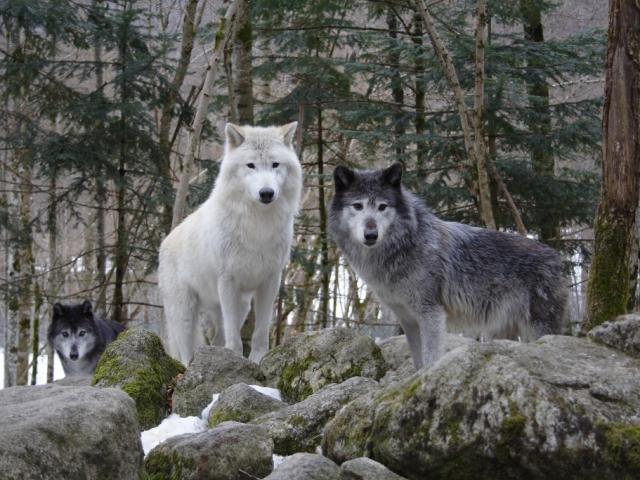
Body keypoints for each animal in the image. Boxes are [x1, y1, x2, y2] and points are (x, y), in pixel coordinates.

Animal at [158, 122, 302, 365]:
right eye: (251, 165)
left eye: (275, 164)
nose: (266, 193)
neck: (258, 225)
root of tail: (165, 242)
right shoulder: (227, 280)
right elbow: (234, 337)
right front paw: (236, 359)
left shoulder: (270, 281)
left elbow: (261, 331)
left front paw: (257, 360)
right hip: (185, 315)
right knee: (186, 352)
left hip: (239, 305)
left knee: (217, 337)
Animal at [329, 162, 566, 369]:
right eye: (358, 206)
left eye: (382, 207)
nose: (371, 234)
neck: (404, 246)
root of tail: (557, 257)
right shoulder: (408, 320)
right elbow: (418, 360)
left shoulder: (431, 314)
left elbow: (431, 357)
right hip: (500, 332)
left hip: (536, 328)